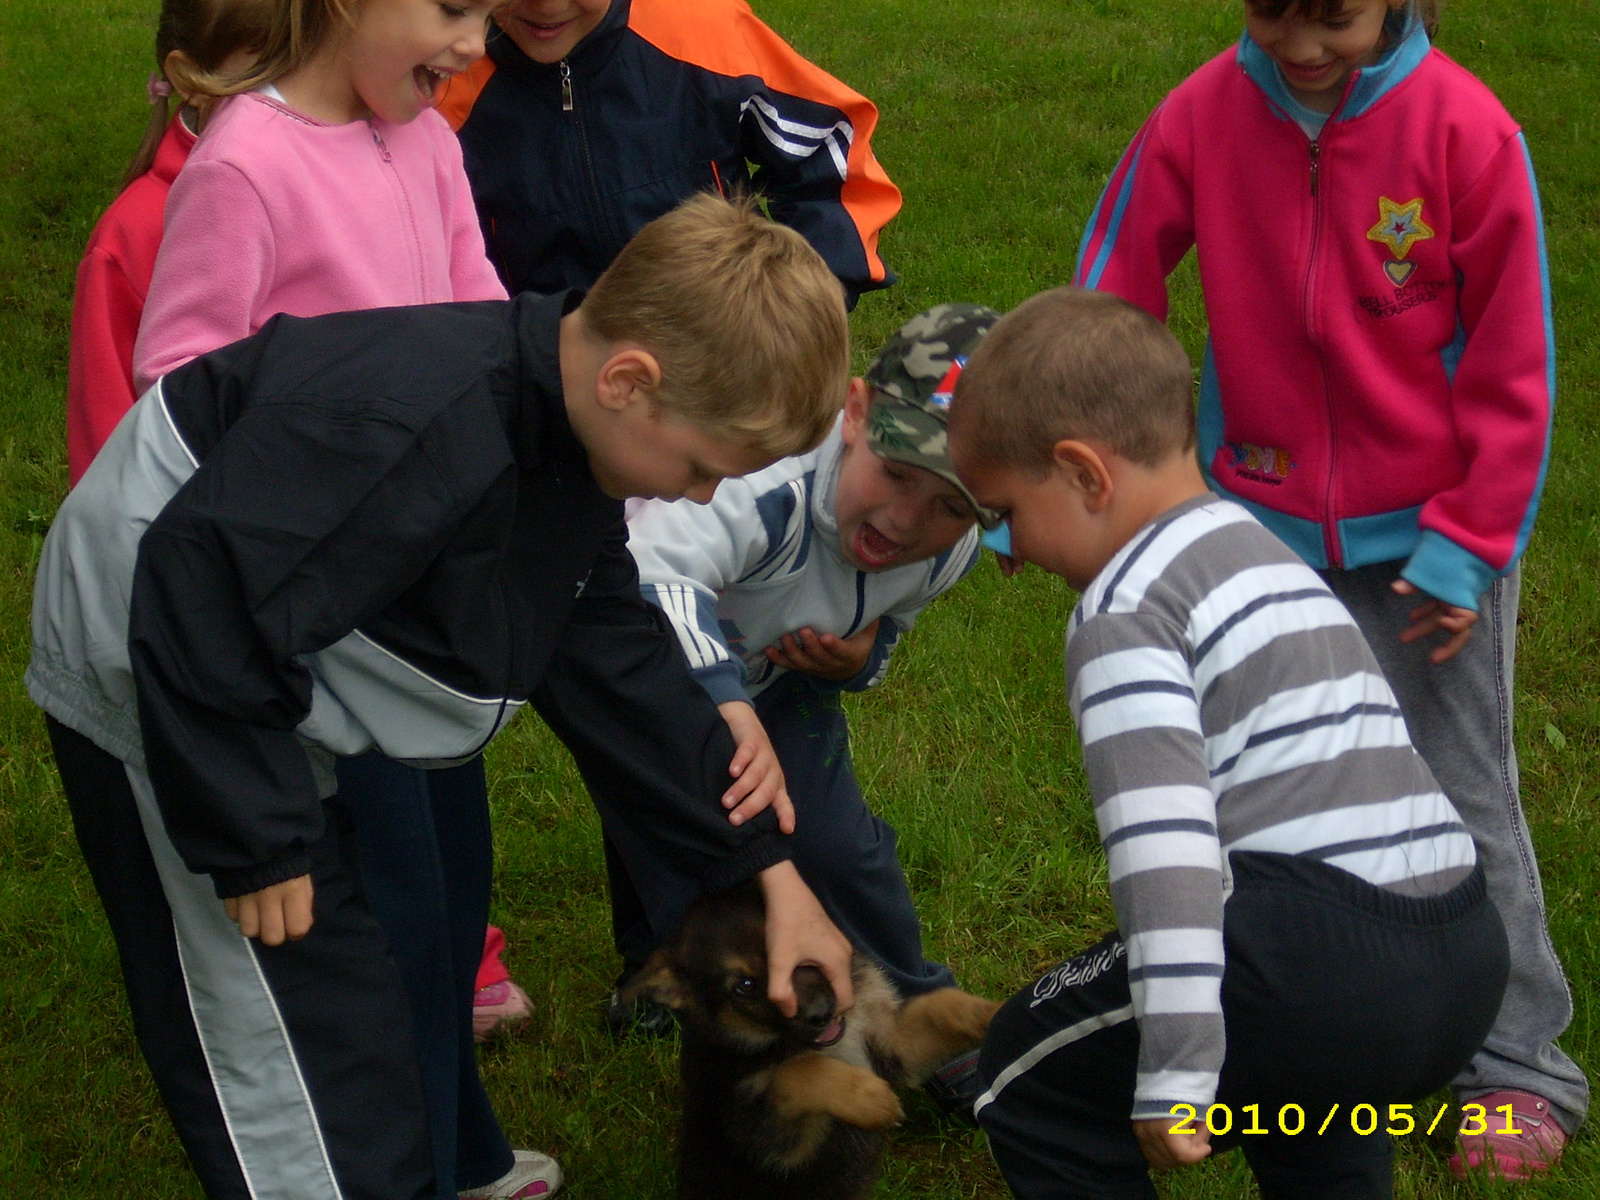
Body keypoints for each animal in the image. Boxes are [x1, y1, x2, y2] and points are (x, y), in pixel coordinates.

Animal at [624, 876, 998, 1196]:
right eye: (745, 986)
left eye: (789, 950)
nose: (822, 1012)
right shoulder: (770, 1141)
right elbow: (795, 1072)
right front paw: (869, 1097)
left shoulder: (891, 1042)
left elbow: (943, 1006)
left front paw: (993, 1012)